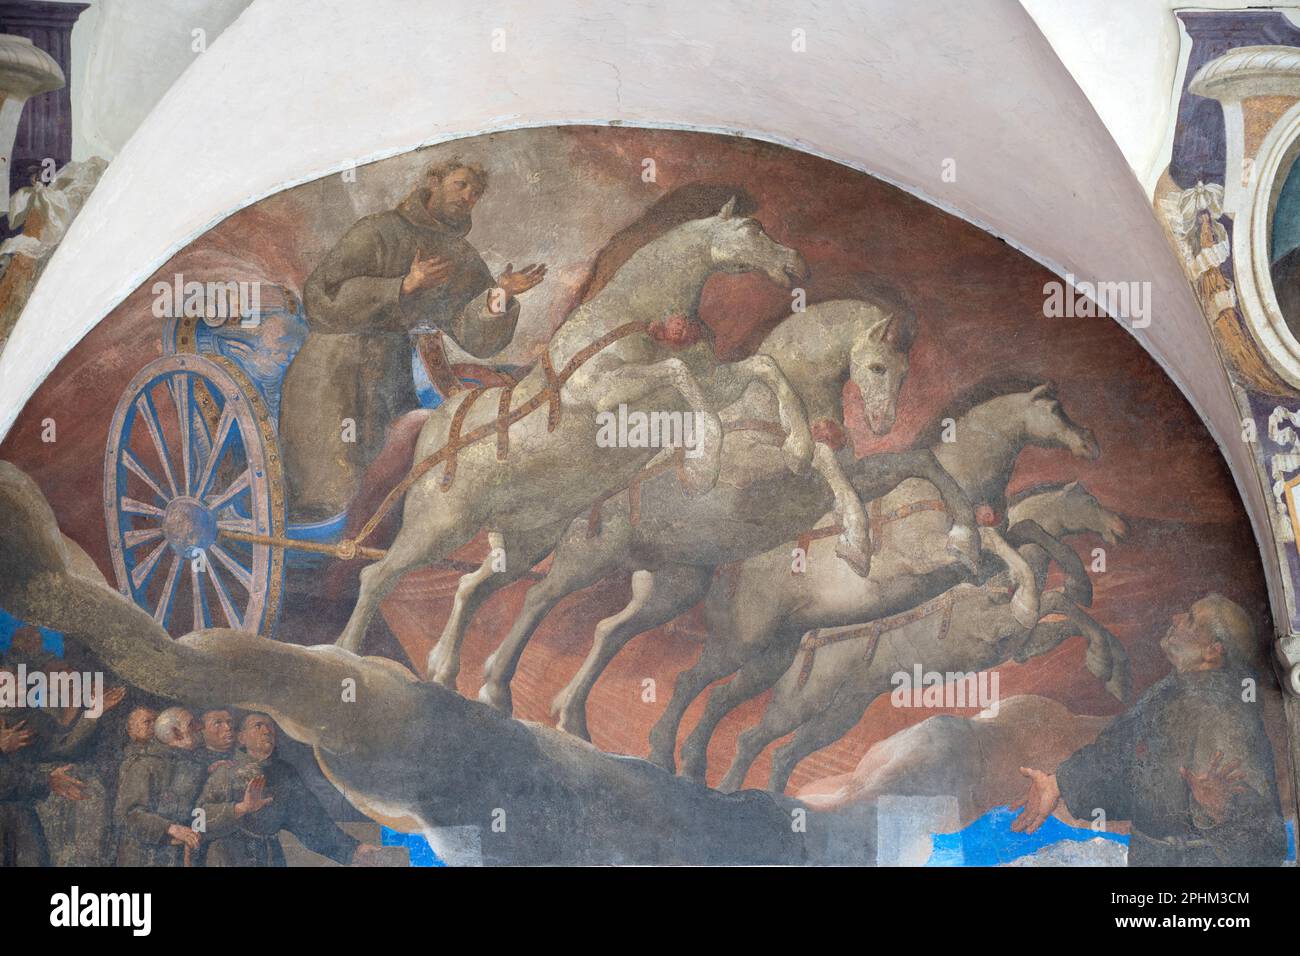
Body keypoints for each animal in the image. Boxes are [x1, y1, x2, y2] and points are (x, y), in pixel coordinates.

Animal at [338, 201, 873, 665]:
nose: (795, 263)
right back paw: (346, 656)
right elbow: (679, 370)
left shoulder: (713, 386)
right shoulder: (601, 393)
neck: (635, 314)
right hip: (438, 524)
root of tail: (434, 427)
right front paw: (703, 466)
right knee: (376, 575)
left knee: (473, 587)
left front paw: (803, 455)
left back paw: (444, 670)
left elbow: (762, 369)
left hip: (523, 540)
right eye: (752, 228)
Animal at [655, 382, 1102, 780]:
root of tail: (726, 573)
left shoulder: (973, 570)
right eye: (1055, 408)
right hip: (748, 647)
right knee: (695, 683)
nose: (1090, 444)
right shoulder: (932, 557)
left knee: (725, 702)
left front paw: (1079, 589)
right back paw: (666, 755)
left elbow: (1025, 532)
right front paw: (1028, 602)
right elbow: (993, 543)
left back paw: (696, 767)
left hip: (780, 663)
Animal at [717, 481, 1133, 796]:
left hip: (840, 714)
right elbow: (1059, 600)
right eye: (1089, 500)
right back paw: (728, 788)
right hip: (800, 703)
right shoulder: (993, 626)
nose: (1122, 528)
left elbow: (1068, 620)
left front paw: (1113, 668)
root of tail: (805, 639)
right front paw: (1102, 658)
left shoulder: (1021, 644)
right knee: (751, 739)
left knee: (784, 754)